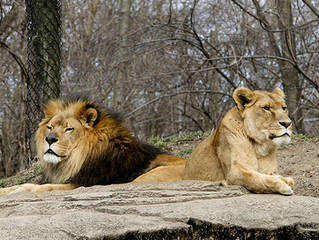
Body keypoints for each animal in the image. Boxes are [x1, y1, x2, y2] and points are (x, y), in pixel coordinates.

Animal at [0, 96, 186, 194]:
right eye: (50, 127)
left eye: (69, 128)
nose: (50, 139)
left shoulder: (82, 183)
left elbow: (44, 187)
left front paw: (20, 191)